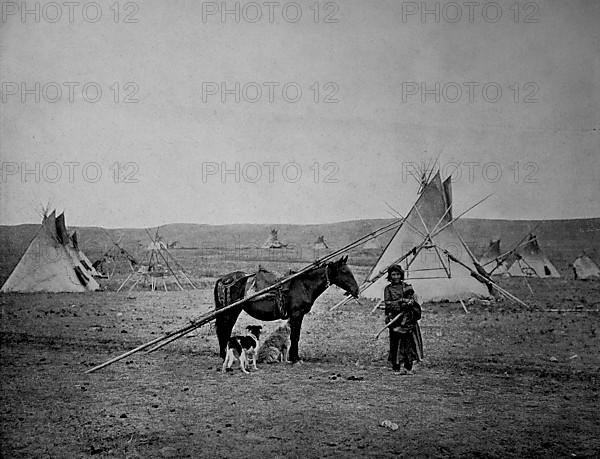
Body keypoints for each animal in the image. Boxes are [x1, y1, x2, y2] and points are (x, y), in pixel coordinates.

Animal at [213, 255, 358, 362]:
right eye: (344, 271)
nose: (356, 290)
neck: (304, 285)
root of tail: (223, 279)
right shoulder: (297, 314)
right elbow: (295, 336)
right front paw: (295, 358)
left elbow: (295, 336)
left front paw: (295, 357)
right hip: (231, 311)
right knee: (224, 330)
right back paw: (224, 354)